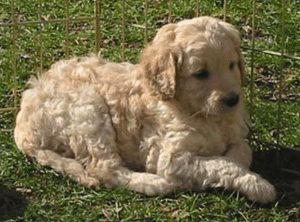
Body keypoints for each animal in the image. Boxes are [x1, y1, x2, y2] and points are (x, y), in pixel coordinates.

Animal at [14, 16, 276, 204]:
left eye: (232, 65)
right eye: (201, 74)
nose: (233, 100)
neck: (201, 114)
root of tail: (23, 121)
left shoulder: (235, 136)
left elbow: (241, 152)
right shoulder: (170, 158)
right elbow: (221, 164)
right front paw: (259, 186)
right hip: (88, 111)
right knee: (105, 168)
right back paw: (155, 183)